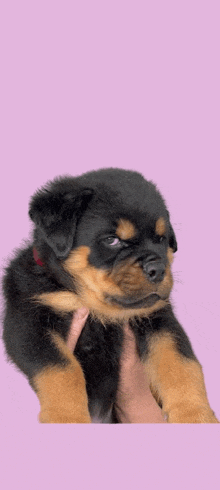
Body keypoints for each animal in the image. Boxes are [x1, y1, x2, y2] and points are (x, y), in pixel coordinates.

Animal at [2, 168, 218, 422]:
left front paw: (195, 413)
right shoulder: (28, 320)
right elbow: (61, 368)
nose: (158, 269)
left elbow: (179, 362)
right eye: (111, 240)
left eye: (161, 239)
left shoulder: (158, 318)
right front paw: (67, 417)